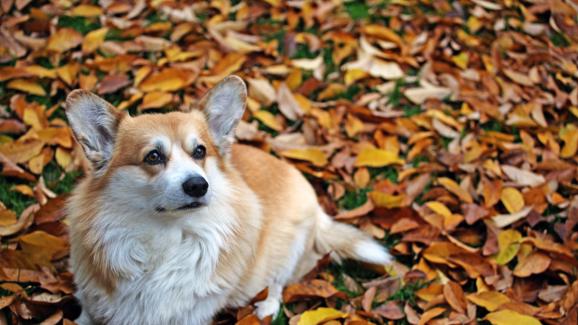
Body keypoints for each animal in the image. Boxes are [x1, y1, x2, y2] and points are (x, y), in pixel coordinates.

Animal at [64, 76, 392, 324]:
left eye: (200, 151)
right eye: (153, 156)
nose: (198, 185)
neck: (164, 237)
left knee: (278, 282)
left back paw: (266, 306)